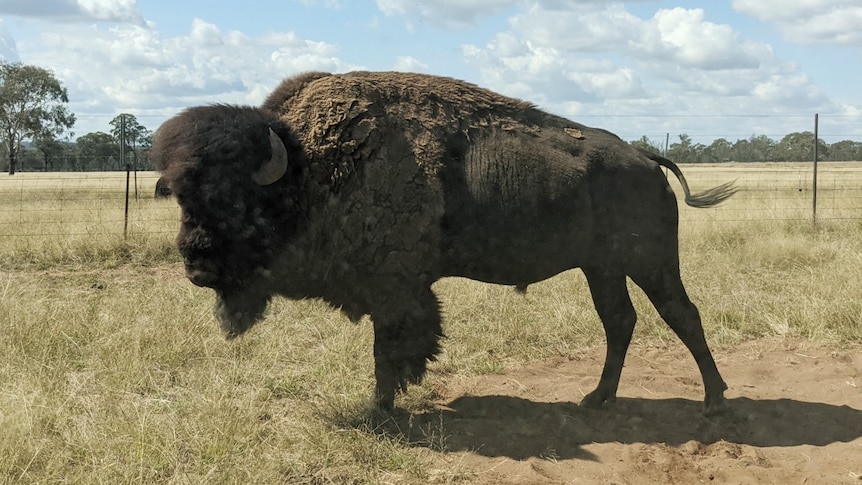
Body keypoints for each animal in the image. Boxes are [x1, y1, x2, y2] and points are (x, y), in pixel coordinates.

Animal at [154, 72, 736, 416]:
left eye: (232, 198)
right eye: (179, 193)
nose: (196, 266)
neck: (307, 169)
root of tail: (645, 158)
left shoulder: (395, 291)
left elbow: (390, 351)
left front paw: (380, 411)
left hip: (650, 262)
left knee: (682, 314)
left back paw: (714, 402)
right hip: (602, 268)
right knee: (620, 321)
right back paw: (596, 399)